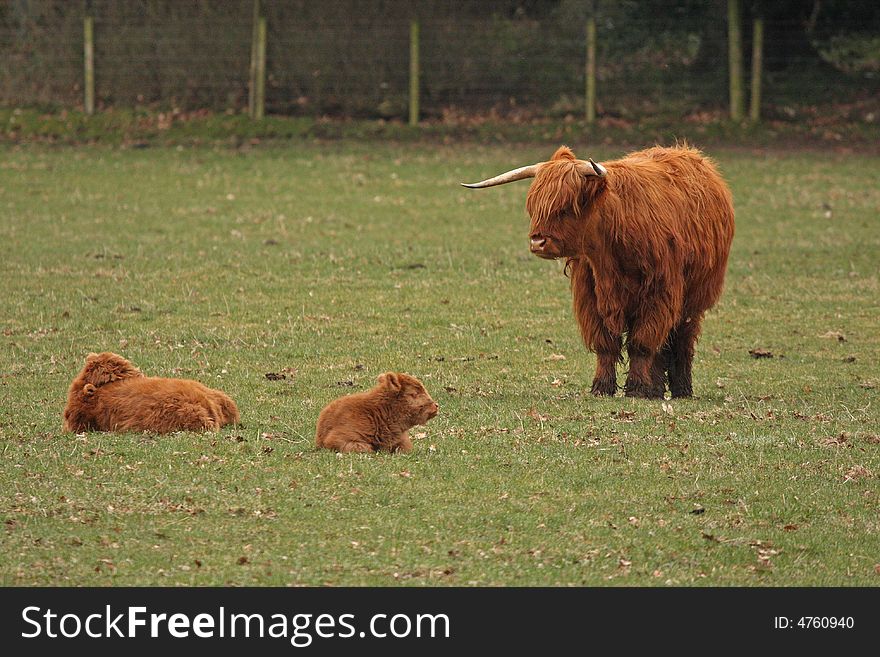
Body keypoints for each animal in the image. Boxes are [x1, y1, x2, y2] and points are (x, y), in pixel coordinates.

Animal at [464, 144, 732, 398]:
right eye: (534, 208)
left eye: (565, 207)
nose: (537, 242)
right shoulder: (590, 297)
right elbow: (606, 344)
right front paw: (602, 387)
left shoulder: (659, 294)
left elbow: (642, 343)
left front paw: (637, 388)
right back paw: (656, 389)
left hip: (693, 300)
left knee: (682, 338)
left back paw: (680, 389)